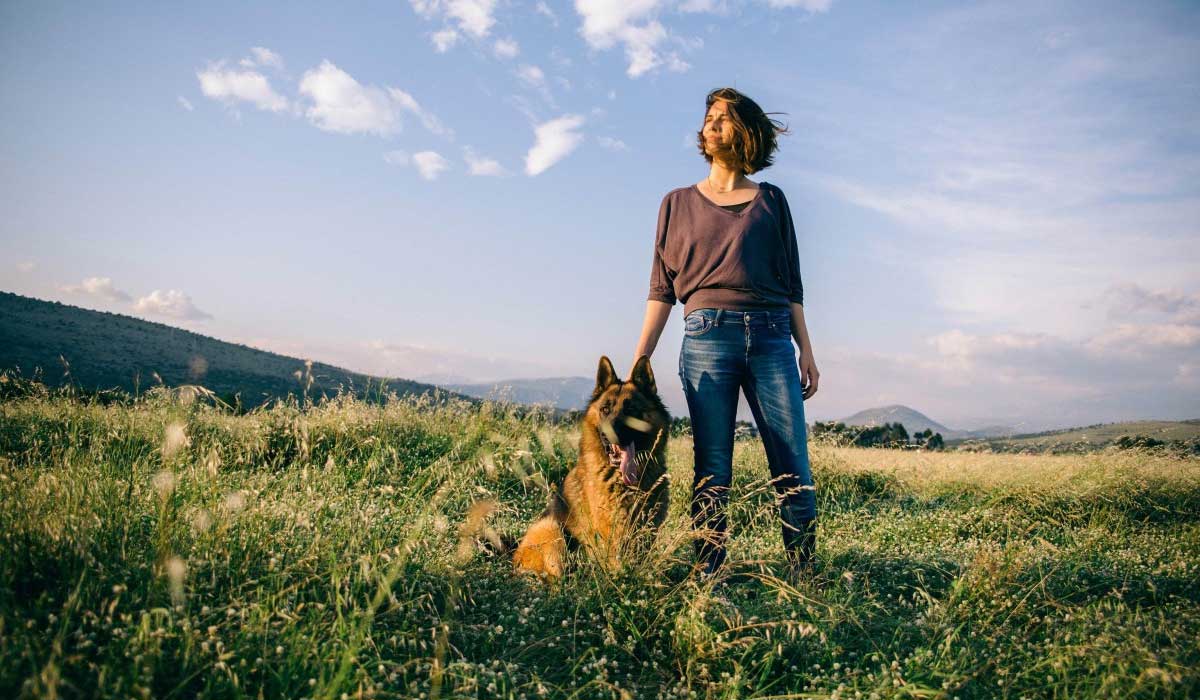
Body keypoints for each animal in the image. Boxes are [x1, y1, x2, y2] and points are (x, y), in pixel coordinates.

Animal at [511, 355, 672, 581]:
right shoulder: (613, 531)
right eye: (605, 409)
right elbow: (617, 563)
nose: (610, 432)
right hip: (551, 529)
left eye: (631, 410)